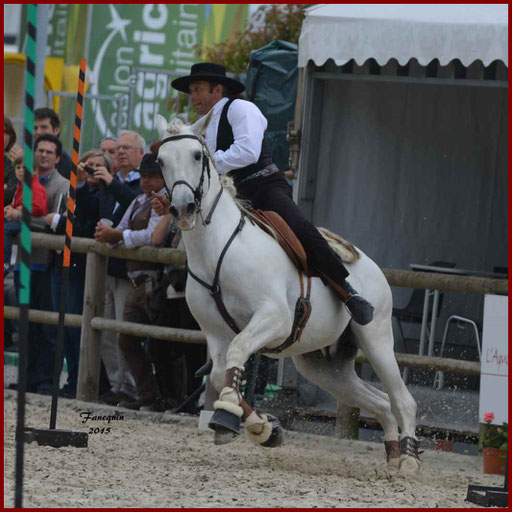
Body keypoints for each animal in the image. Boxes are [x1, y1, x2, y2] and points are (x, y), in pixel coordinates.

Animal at [155, 114, 420, 474]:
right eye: (160, 160)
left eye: (197, 155)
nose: (183, 208)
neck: (218, 251)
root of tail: (371, 264)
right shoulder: (215, 334)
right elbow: (222, 373)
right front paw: (263, 429)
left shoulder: (273, 318)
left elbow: (239, 351)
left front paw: (228, 418)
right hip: (324, 367)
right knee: (380, 402)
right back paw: (392, 454)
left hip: (376, 339)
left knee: (403, 400)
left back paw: (408, 460)